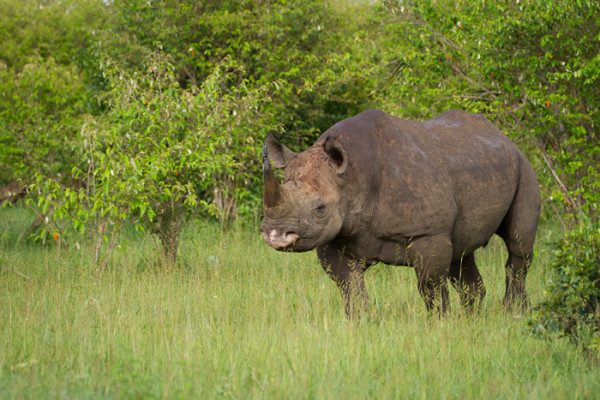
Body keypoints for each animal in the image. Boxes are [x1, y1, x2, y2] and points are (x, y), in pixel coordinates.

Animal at [260, 108, 540, 316]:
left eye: (320, 208)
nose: (275, 233)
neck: (352, 176)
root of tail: (503, 136)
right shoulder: (335, 236)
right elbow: (350, 286)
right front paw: (359, 326)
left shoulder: (429, 233)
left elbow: (430, 286)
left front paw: (440, 325)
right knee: (462, 253)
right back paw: (475, 320)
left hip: (524, 167)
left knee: (518, 245)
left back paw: (514, 314)